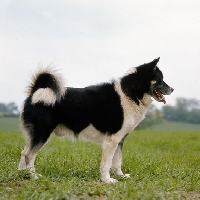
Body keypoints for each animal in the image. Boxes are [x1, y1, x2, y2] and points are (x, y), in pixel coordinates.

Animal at [18, 57, 173, 183]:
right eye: (160, 79)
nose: (172, 89)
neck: (129, 93)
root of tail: (37, 91)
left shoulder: (119, 140)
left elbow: (117, 162)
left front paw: (120, 176)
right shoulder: (111, 140)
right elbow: (107, 164)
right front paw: (107, 180)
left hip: (35, 135)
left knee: (23, 152)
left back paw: (22, 174)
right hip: (42, 133)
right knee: (28, 155)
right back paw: (33, 176)